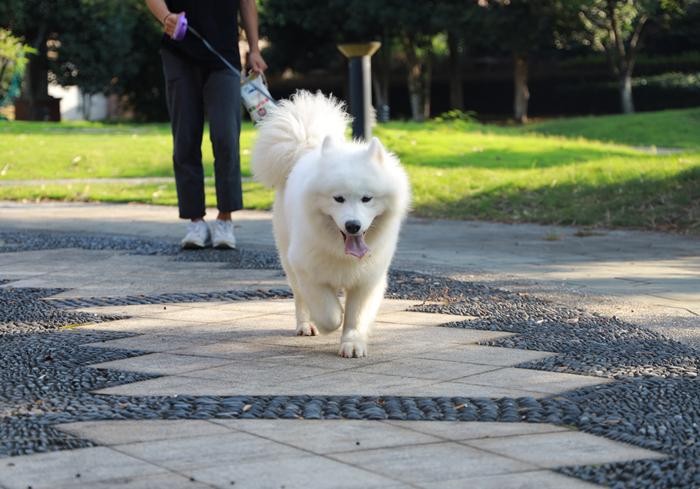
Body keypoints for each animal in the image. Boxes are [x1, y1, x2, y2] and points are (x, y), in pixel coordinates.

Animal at [253, 91, 410, 356]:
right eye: (338, 198)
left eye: (366, 198)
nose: (353, 225)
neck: (341, 252)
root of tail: (307, 148)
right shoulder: (306, 269)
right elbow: (329, 312)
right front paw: (331, 323)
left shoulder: (368, 279)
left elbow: (356, 316)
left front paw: (353, 343)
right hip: (288, 259)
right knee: (299, 298)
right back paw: (305, 326)